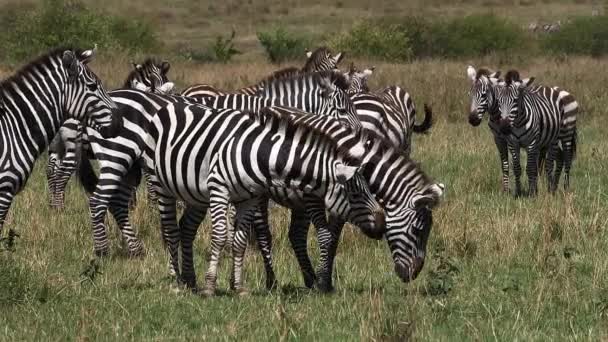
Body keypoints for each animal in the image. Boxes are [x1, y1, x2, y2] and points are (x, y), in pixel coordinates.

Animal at [44, 58, 173, 208]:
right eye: (165, 79)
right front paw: (141, 204)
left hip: (56, 145)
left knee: (51, 171)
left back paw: (53, 207)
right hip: (71, 145)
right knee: (61, 174)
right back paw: (60, 208)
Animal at [145, 103, 384, 296]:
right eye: (355, 194)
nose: (382, 223)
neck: (257, 153)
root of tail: (170, 105)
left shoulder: (249, 198)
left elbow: (240, 241)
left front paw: (239, 288)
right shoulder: (219, 189)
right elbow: (221, 237)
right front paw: (211, 287)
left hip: (196, 193)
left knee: (186, 227)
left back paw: (190, 281)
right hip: (160, 183)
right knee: (171, 230)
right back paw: (176, 281)